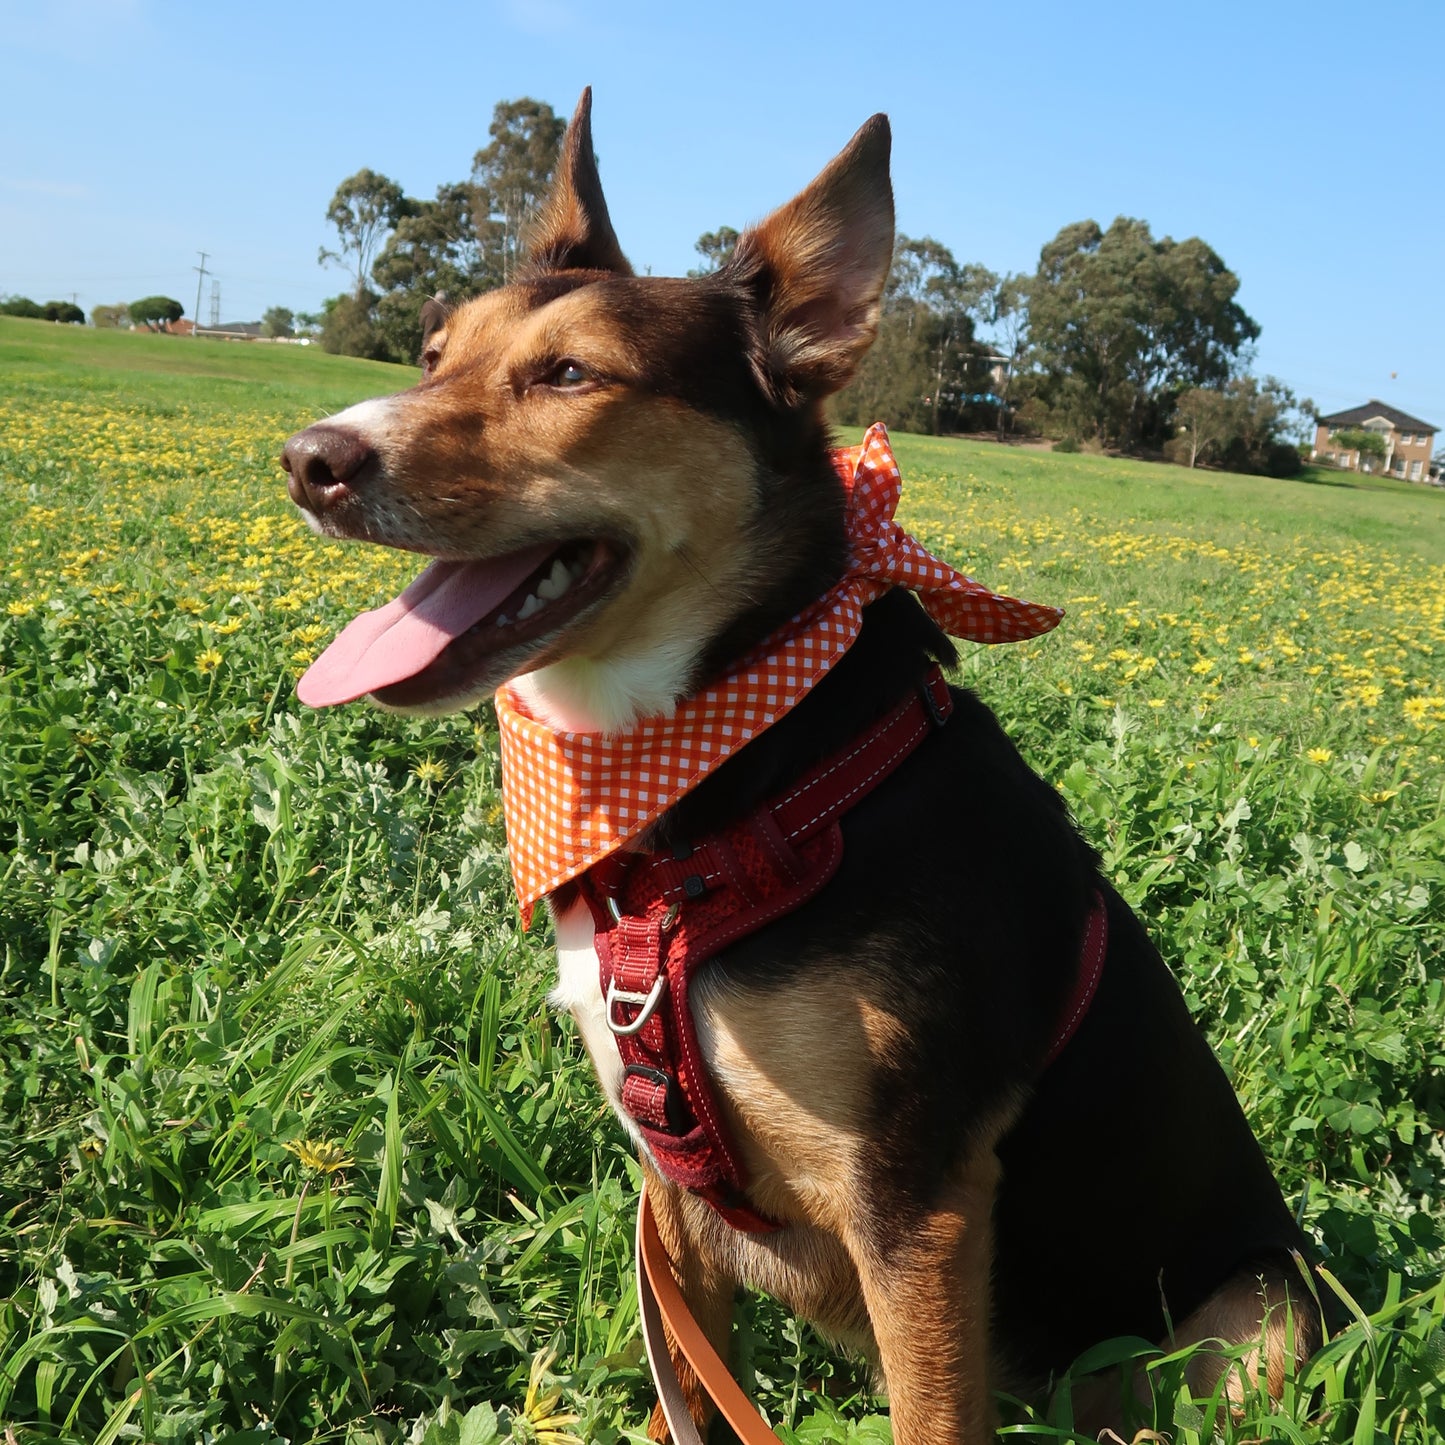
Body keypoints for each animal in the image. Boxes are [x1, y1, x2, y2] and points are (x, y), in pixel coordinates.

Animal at [281, 93, 1323, 1445]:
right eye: (428, 353)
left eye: (569, 373)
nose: (309, 457)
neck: (729, 773)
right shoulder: (670, 1194)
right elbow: (688, 1394)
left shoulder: (916, 1203)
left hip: (1264, 1306)